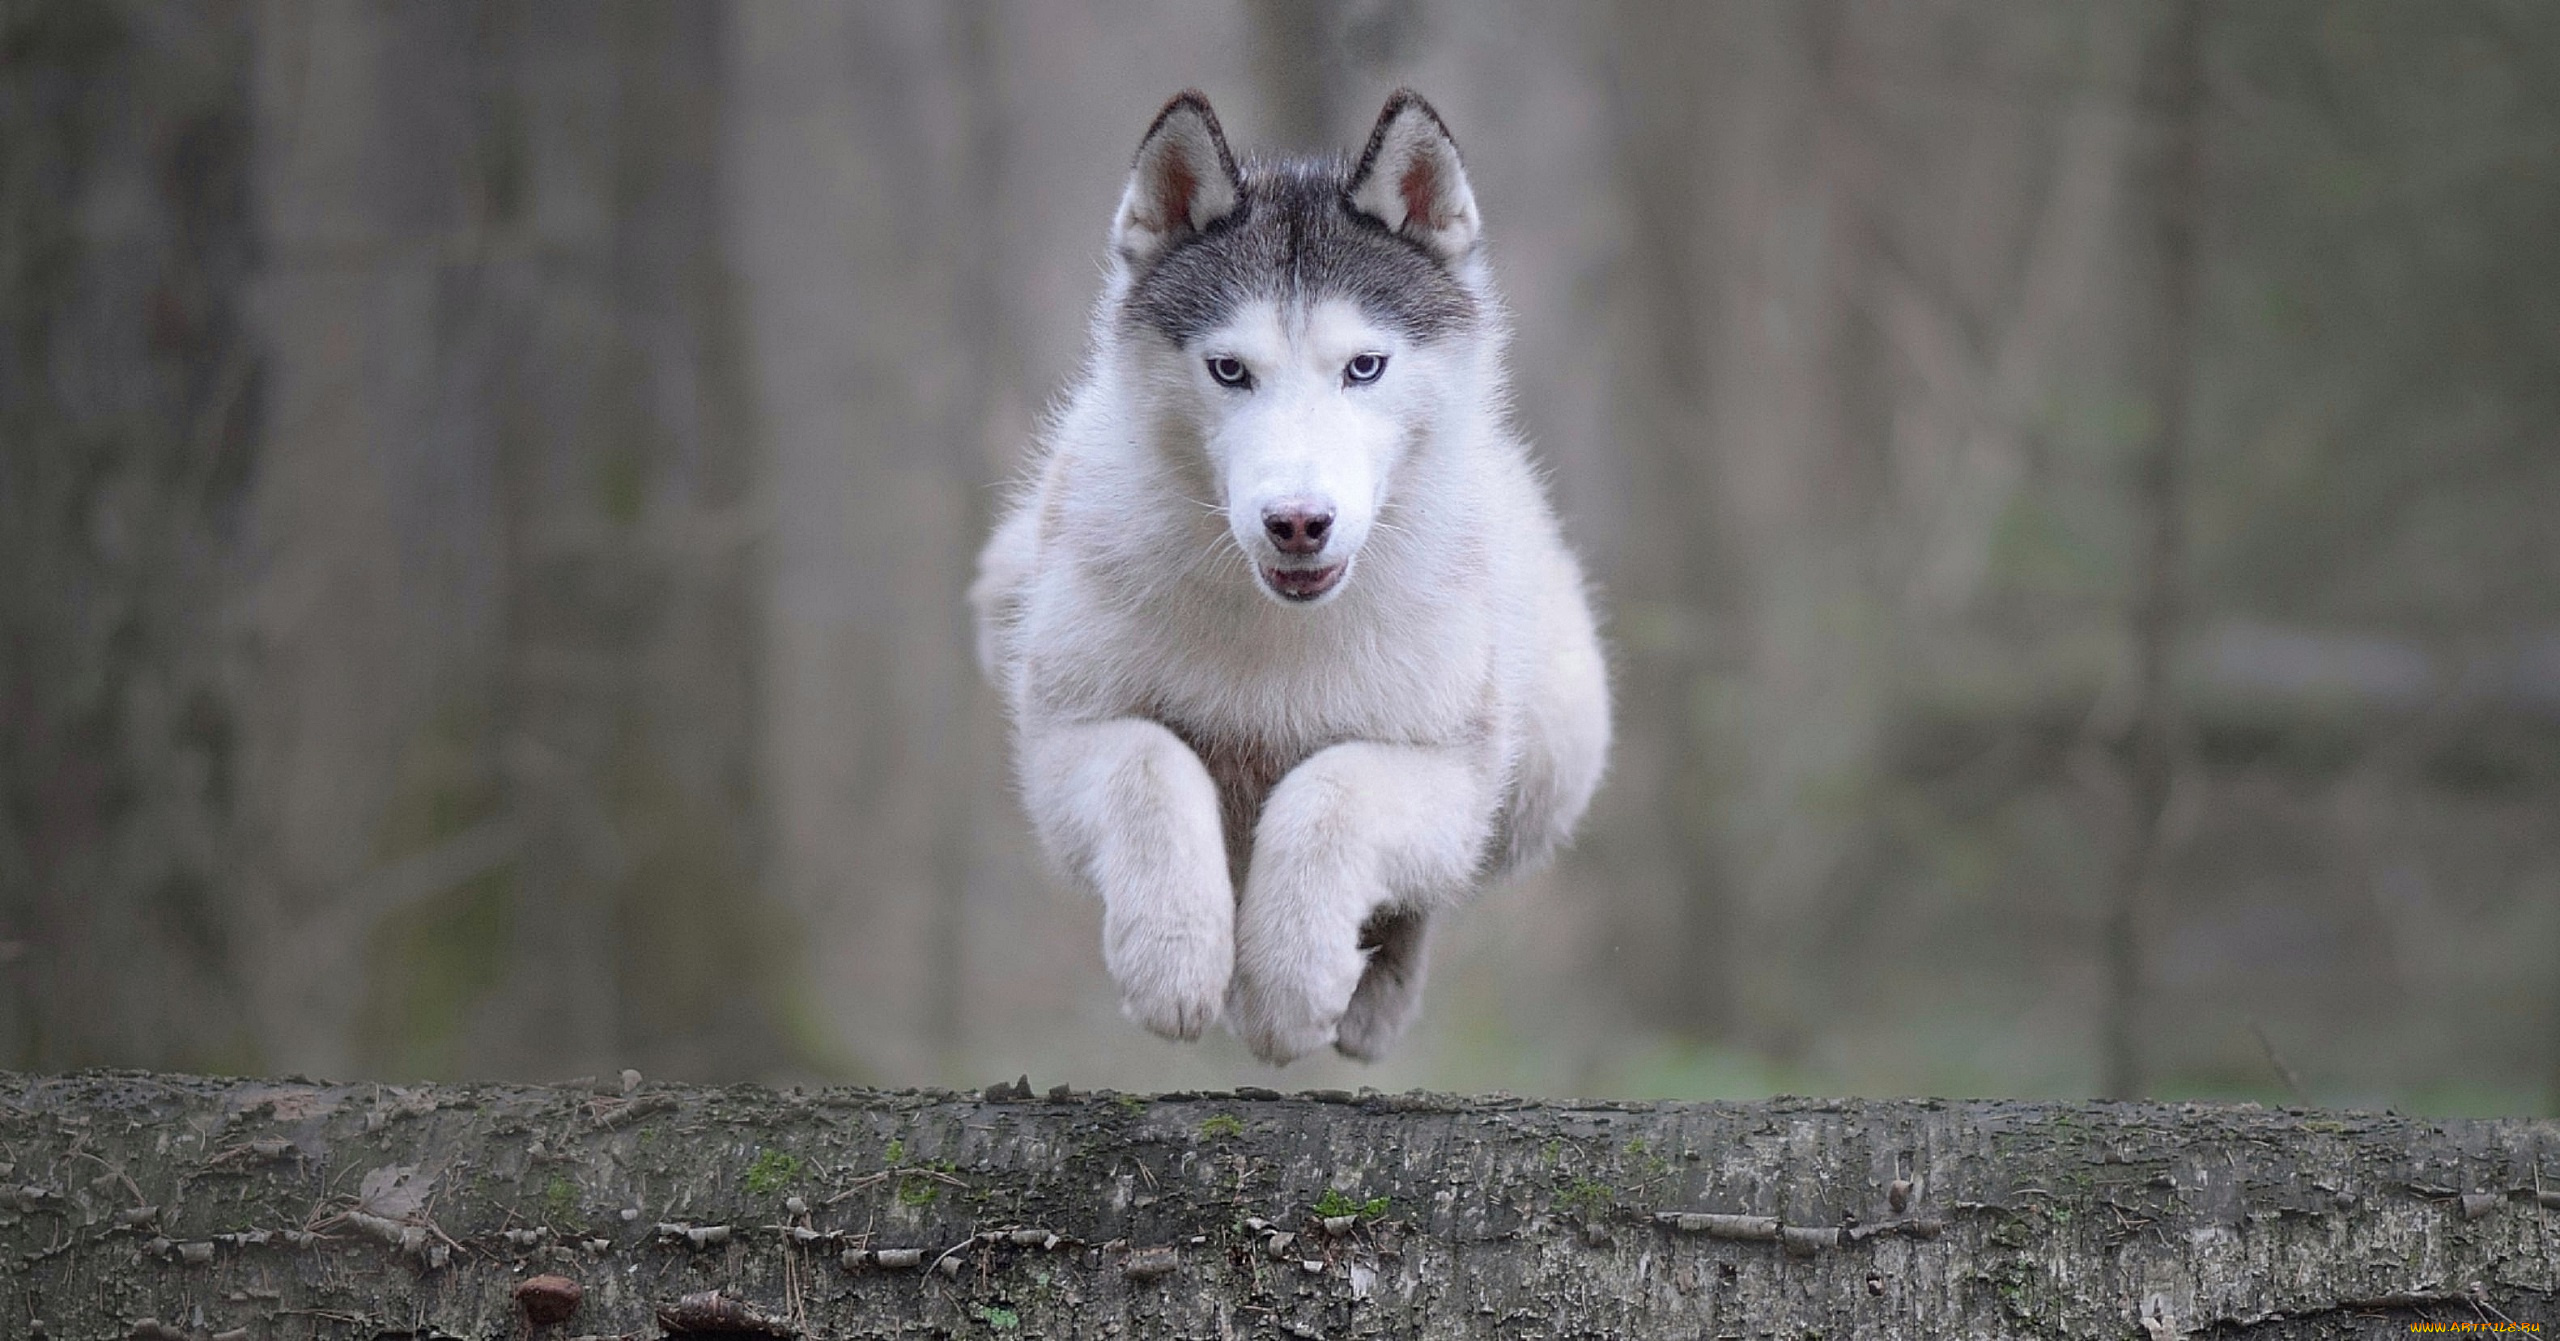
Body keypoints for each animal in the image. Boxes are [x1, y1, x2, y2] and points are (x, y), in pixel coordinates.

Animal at [967, 88, 1607, 1064]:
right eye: (1229, 369)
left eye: (1365, 366)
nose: (1298, 523)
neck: (1276, 633)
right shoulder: (1064, 737)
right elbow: (1152, 764)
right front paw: (1174, 957)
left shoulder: (1451, 768)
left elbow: (1330, 789)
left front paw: (1289, 983)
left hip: (1551, 756)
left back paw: (1375, 997)